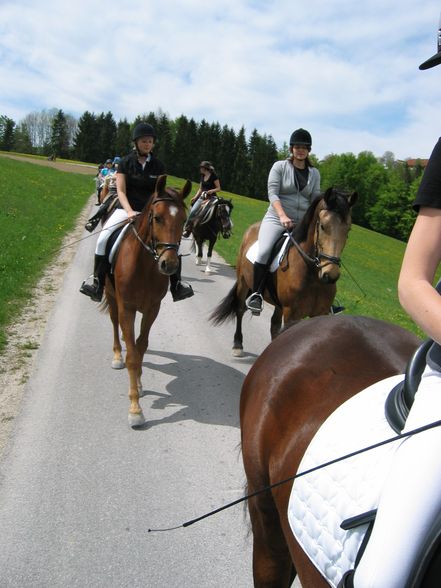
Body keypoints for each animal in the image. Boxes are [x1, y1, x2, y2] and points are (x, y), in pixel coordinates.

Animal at [105, 175, 192, 428]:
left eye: (183, 220)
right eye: (157, 217)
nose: (169, 265)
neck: (143, 265)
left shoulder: (153, 309)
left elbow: (141, 347)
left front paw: (140, 384)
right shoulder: (127, 308)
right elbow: (132, 356)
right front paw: (135, 409)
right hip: (111, 296)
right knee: (114, 323)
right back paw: (117, 355)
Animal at [210, 188, 358, 356]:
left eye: (348, 229)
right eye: (323, 226)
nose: (331, 275)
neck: (312, 275)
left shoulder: (320, 313)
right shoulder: (291, 314)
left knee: (273, 325)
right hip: (243, 282)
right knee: (240, 309)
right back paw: (237, 344)